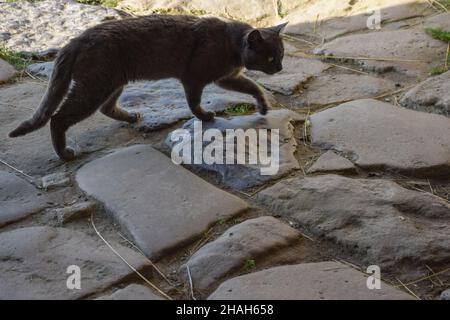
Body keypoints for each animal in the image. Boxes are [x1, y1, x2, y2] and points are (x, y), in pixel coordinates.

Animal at [9, 14, 288, 161]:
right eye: (270, 57)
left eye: (282, 54)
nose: (280, 68)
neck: (231, 45)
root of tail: (74, 40)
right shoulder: (194, 78)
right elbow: (194, 102)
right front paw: (205, 116)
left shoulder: (227, 78)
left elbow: (252, 86)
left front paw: (263, 107)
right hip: (94, 86)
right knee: (58, 118)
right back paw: (65, 153)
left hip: (112, 82)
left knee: (106, 108)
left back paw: (131, 117)